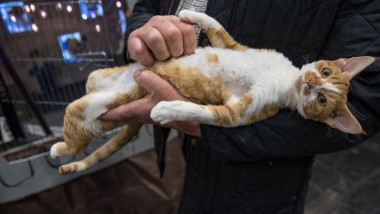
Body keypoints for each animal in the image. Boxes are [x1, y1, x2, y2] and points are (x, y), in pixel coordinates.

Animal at [50, 9, 378, 174]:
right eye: (325, 72)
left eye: (322, 99)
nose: (309, 84)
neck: (286, 80)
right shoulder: (236, 46)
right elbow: (217, 27)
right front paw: (188, 12)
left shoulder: (240, 111)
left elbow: (202, 112)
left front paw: (167, 109)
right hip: (97, 78)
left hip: (89, 112)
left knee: (75, 137)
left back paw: (57, 149)